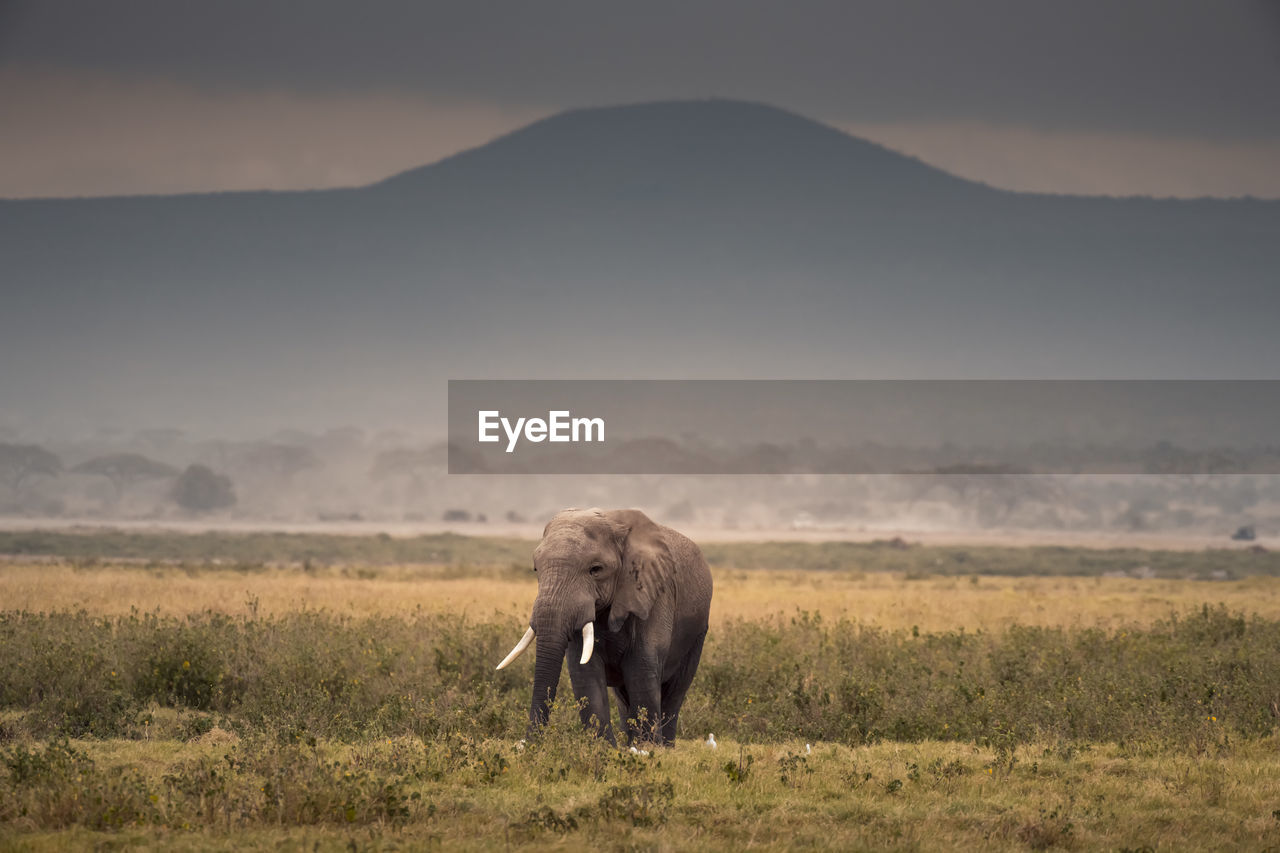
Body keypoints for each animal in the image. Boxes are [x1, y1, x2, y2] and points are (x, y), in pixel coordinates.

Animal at [496, 508, 713, 746]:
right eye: (535, 569)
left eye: (596, 569)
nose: (525, 745)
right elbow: (585, 671)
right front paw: (604, 749)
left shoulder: (653, 593)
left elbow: (642, 665)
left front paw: (647, 749)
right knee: (624, 696)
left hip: (697, 633)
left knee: (675, 691)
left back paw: (663, 746)